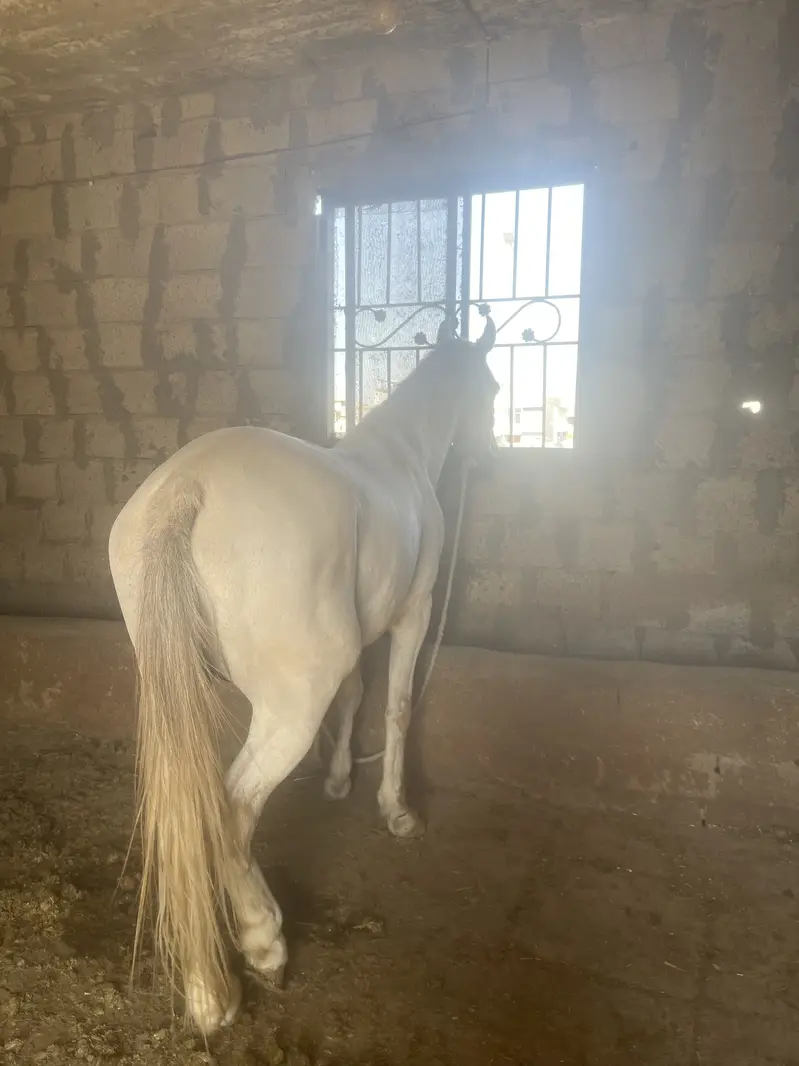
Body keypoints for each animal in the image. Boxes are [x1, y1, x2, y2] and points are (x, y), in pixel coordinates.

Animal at [108, 315, 499, 1034]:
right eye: (490, 388)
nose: (485, 454)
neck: (400, 454)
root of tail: (186, 491)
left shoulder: (358, 638)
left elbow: (354, 697)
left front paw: (339, 779)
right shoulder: (411, 614)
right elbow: (395, 706)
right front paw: (397, 812)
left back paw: (207, 993)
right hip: (288, 706)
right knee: (233, 806)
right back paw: (262, 947)